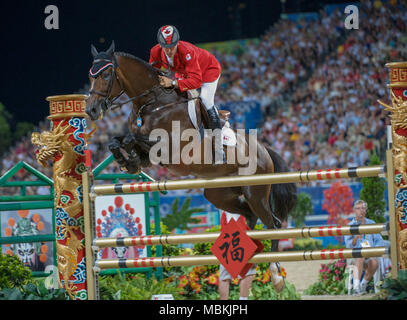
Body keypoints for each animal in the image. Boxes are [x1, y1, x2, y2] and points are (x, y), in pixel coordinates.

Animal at [86, 41, 296, 292]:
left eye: (106, 74)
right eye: (90, 75)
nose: (91, 110)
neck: (153, 105)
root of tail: (265, 149)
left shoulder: (171, 149)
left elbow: (130, 139)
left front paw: (129, 160)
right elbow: (117, 141)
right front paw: (128, 162)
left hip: (255, 192)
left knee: (273, 223)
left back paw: (276, 276)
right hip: (219, 194)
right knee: (249, 216)